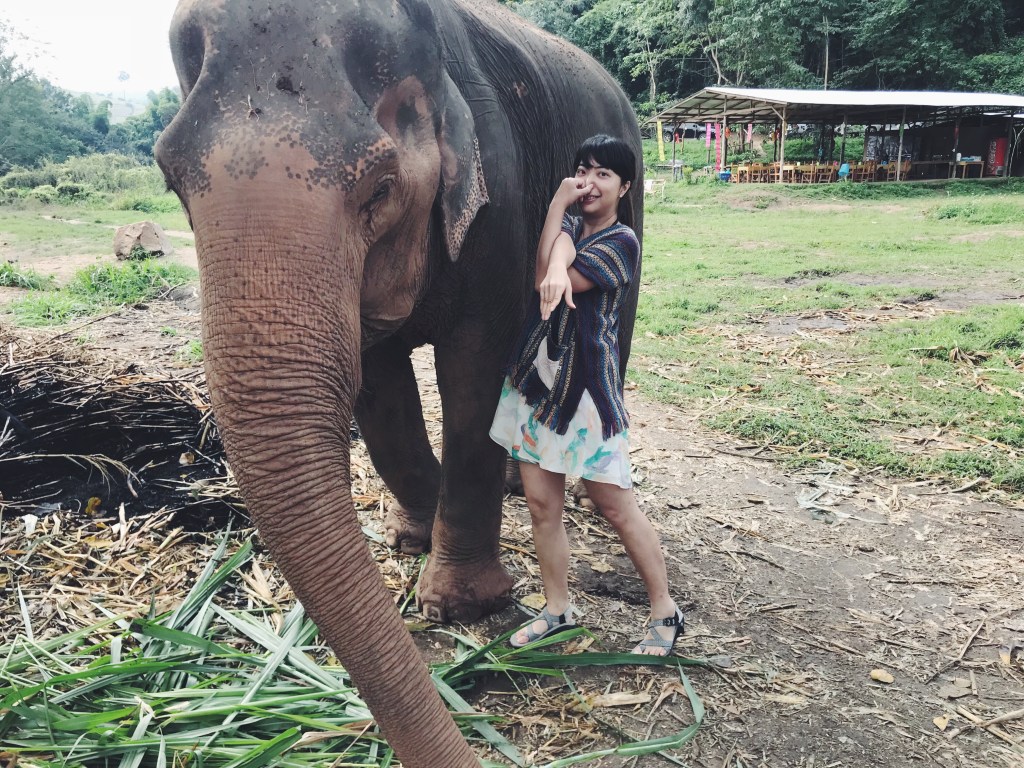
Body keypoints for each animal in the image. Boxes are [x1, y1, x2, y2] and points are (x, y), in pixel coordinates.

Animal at [155, 0, 643, 765]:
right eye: (173, 184)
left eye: (379, 190)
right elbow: (378, 386)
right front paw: (410, 540)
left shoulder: (499, 197)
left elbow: (473, 373)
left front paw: (461, 605)